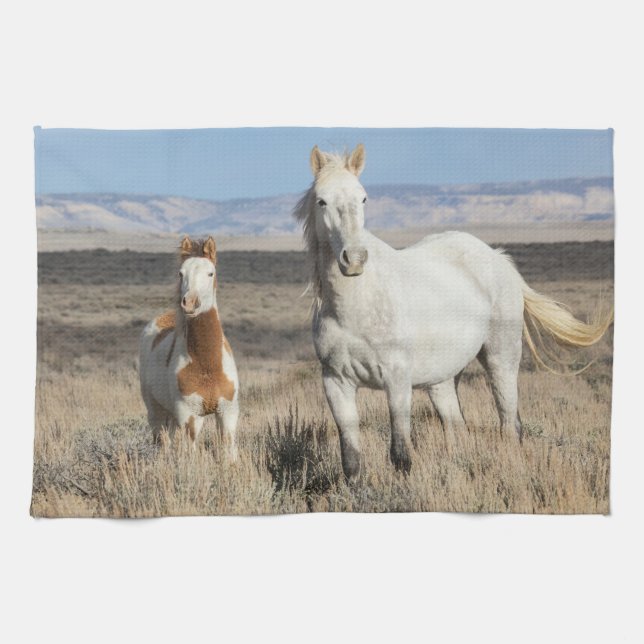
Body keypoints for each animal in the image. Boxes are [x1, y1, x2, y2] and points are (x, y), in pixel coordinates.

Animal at [139, 235, 239, 457]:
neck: (207, 366)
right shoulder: (191, 417)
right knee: (162, 443)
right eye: (181, 273)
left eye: (210, 273)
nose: (190, 303)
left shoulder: (227, 413)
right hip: (156, 413)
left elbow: (228, 453)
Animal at [294, 143, 613, 480]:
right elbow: (351, 459)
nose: (354, 259)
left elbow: (400, 453)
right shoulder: (336, 382)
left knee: (510, 423)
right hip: (443, 379)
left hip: (501, 358)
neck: (356, 307)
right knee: (458, 427)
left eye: (363, 197)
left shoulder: (397, 379)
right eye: (322, 200)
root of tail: (498, 258)